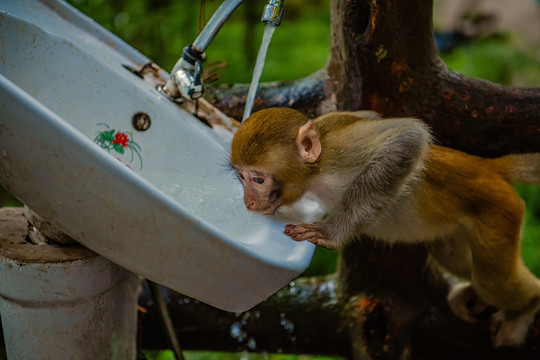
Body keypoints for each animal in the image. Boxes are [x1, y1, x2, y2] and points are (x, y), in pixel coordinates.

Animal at [230, 106, 540, 346]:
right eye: (240, 177)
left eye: (258, 179)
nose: (248, 201)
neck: (314, 173)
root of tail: (489, 169)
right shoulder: (333, 121)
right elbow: (369, 115)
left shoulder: (340, 155)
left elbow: (407, 136)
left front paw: (332, 232)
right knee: (453, 257)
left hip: (499, 212)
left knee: (492, 281)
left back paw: (527, 307)